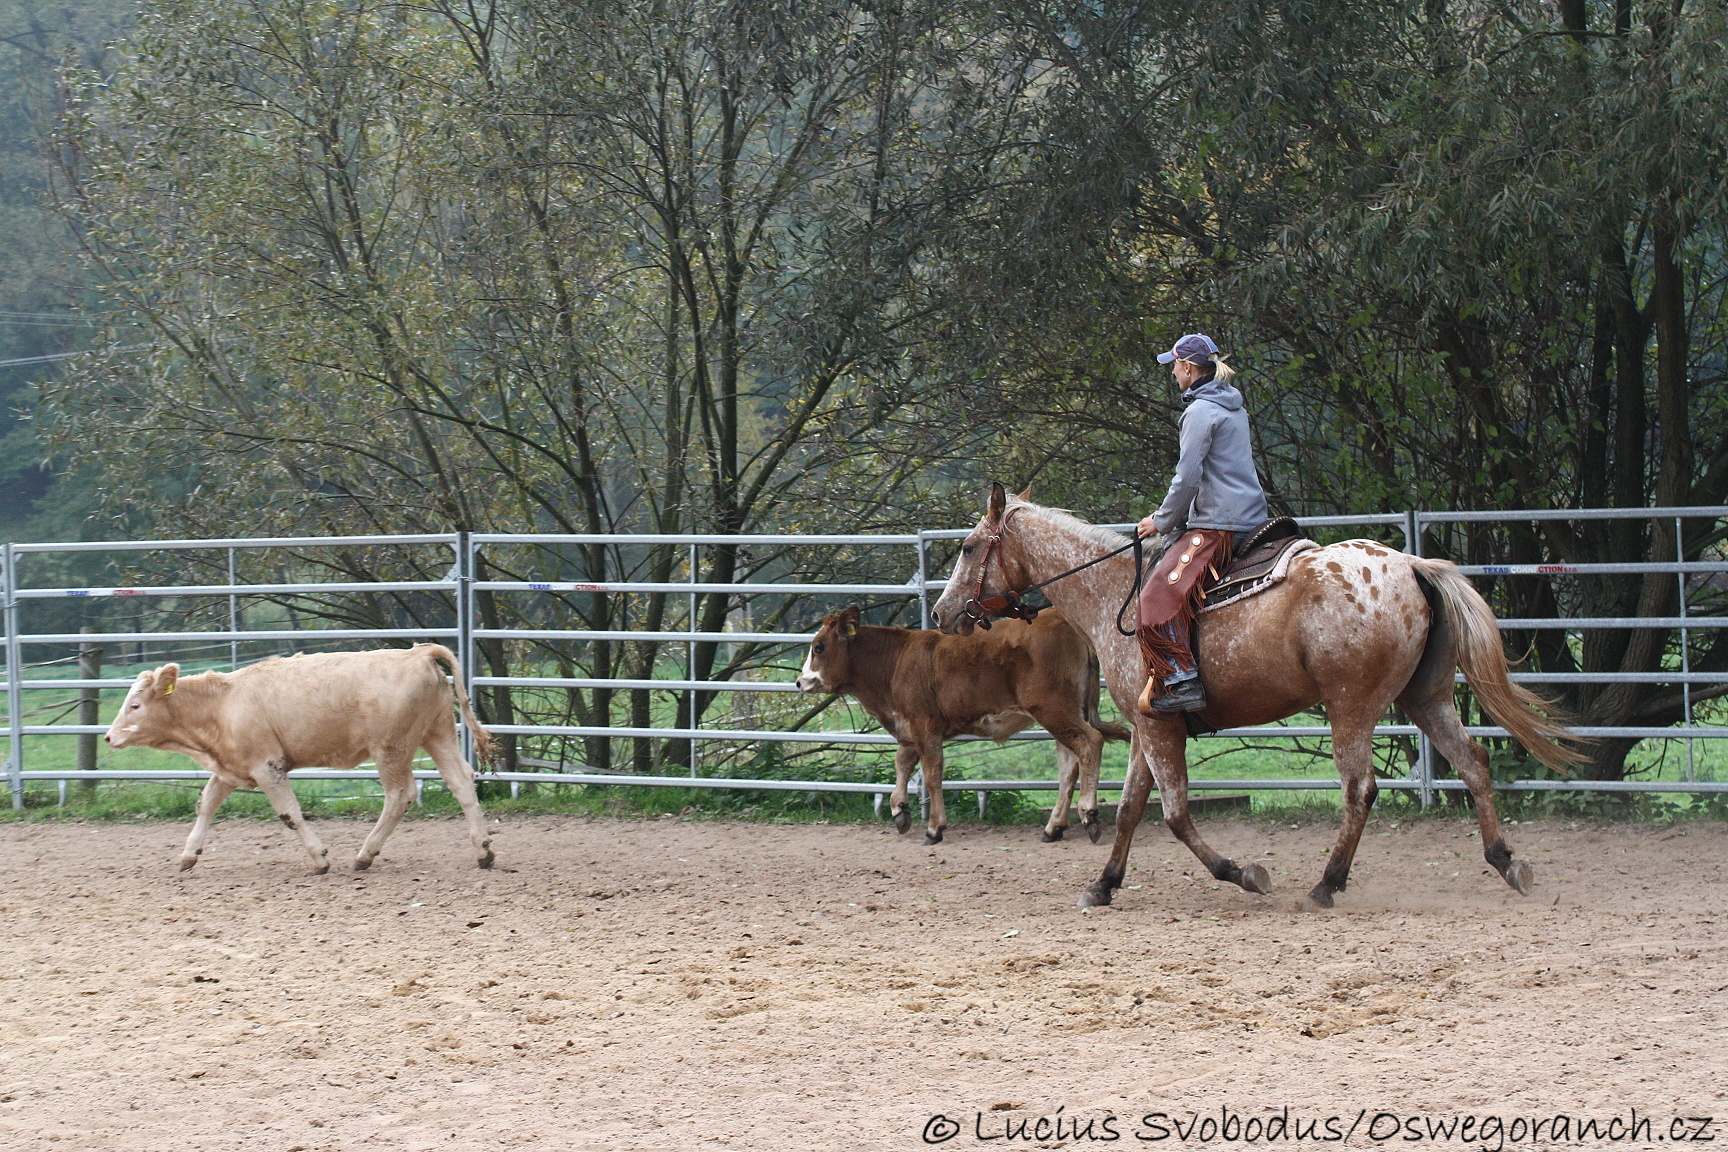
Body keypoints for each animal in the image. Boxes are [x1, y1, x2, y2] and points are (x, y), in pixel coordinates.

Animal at [107, 645, 497, 877]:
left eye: (135, 705)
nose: (109, 737)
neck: (222, 703)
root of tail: (419, 653)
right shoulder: (231, 769)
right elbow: (206, 804)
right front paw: (189, 854)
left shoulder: (267, 766)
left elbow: (289, 813)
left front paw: (320, 858)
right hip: (437, 734)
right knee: (462, 782)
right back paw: (483, 850)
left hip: (390, 749)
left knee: (400, 795)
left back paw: (365, 853)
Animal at [791, 607, 1126, 842]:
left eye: (819, 647)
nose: (800, 682)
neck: (896, 661)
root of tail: (1063, 620)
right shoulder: (910, 728)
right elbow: (902, 763)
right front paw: (900, 810)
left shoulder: (925, 725)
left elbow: (931, 774)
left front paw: (934, 828)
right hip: (1063, 713)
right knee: (1069, 765)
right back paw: (1053, 827)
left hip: (1054, 710)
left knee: (1089, 743)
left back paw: (1089, 815)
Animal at [933, 487, 1582, 911]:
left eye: (967, 548)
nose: (941, 613)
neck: (1114, 591)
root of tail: (1412, 565)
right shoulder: (1148, 724)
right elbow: (1131, 809)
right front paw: (1104, 884)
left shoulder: (1159, 730)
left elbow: (1174, 814)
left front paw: (1242, 872)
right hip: (1427, 699)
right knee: (1473, 763)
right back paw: (1506, 861)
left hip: (1352, 707)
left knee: (1360, 788)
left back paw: (1326, 884)